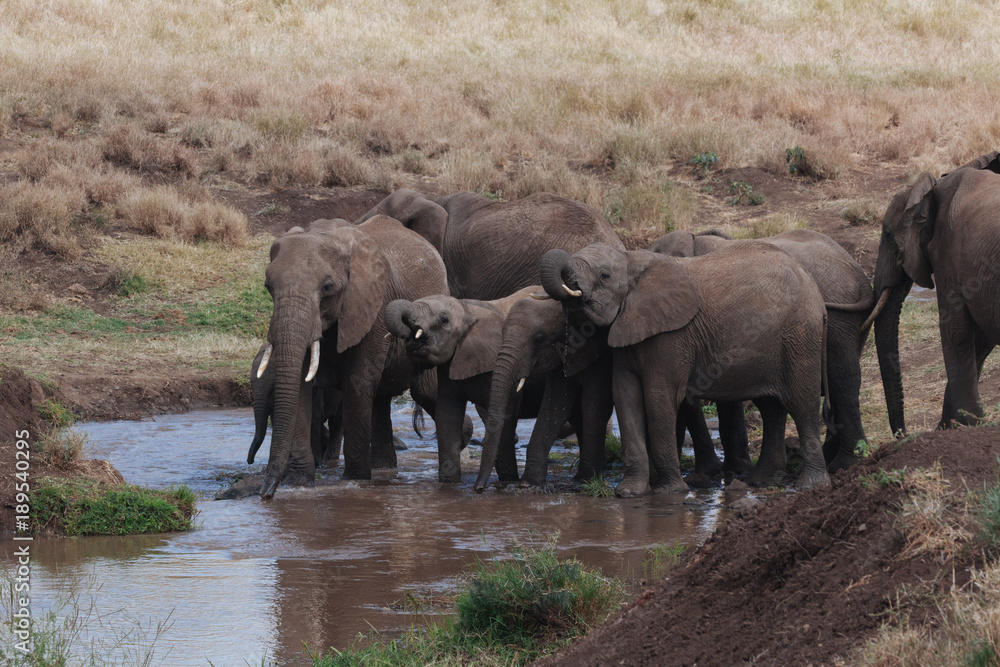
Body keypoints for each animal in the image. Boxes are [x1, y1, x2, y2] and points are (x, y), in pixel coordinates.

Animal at [258, 216, 450, 499]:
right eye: (268, 287)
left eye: (328, 287)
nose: (266, 494)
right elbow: (301, 388)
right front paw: (298, 483)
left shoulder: (373, 306)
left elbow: (357, 383)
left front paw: (354, 480)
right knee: (381, 400)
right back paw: (384, 470)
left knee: (426, 391)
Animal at [384, 287, 544, 483]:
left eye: (444, 319)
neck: (466, 308)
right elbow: (447, 416)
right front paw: (449, 483)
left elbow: (503, 416)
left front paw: (507, 481)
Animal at [473, 296, 613, 491]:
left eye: (539, 339)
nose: (478, 488)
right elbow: (556, 404)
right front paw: (529, 483)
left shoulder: (599, 356)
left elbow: (593, 404)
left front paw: (588, 480)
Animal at [540, 242, 832, 496]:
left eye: (604, 275)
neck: (632, 261)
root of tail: (816, 291)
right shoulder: (628, 331)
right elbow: (625, 396)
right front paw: (629, 492)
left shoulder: (672, 336)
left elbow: (659, 397)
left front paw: (669, 491)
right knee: (771, 409)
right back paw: (760, 482)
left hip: (800, 337)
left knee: (802, 405)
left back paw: (812, 485)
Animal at [869, 150, 1000, 434]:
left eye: (889, 236)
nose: (902, 435)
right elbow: (980, 340)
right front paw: (948, 427)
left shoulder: (946, 252)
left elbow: (957, 332)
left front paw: (965, 424)